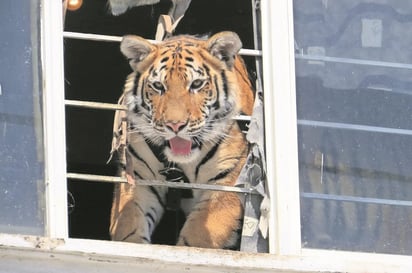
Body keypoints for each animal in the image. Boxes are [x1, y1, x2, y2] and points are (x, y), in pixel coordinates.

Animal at [109, 30, 254, 249]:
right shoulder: (139, 178)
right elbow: (129, 224)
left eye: (196, 84)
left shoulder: (227, 180)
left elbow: (198, 237)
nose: (175, 126)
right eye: (158, 86)